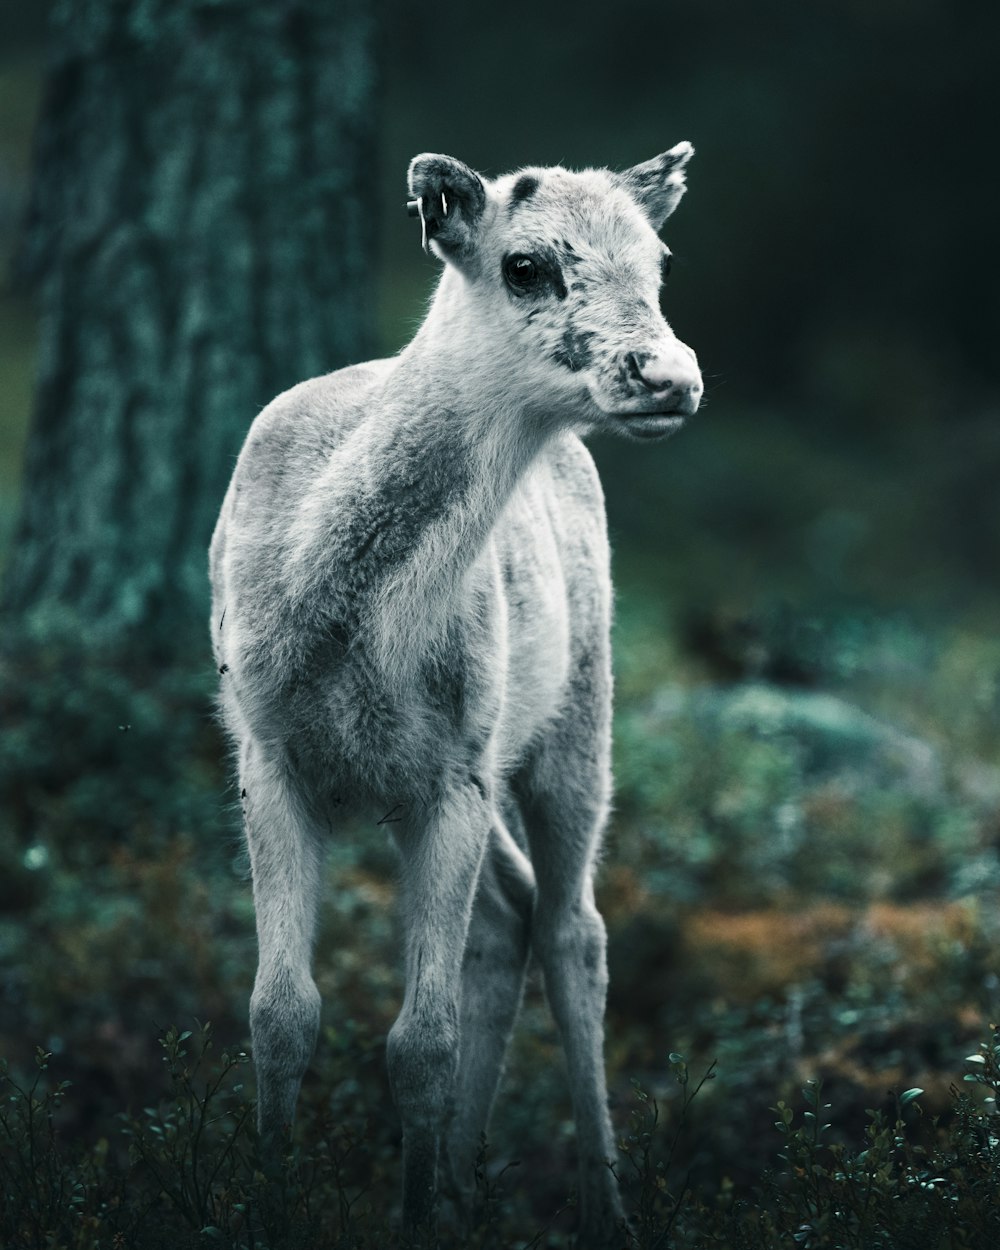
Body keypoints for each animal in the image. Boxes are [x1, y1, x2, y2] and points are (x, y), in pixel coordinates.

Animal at [207, 143, 700, 1240]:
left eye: (658, 263)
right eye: (525, 266)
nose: (670, 376)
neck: (345, 620)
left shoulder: (453, 774)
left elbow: (417, 1042)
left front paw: (412, 1211)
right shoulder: (265, 752)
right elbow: (278, 1012)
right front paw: (272, 1200)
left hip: (576, 709)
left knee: (574, 929)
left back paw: (601, 1207)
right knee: (513, 914)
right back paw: (469, 1187)